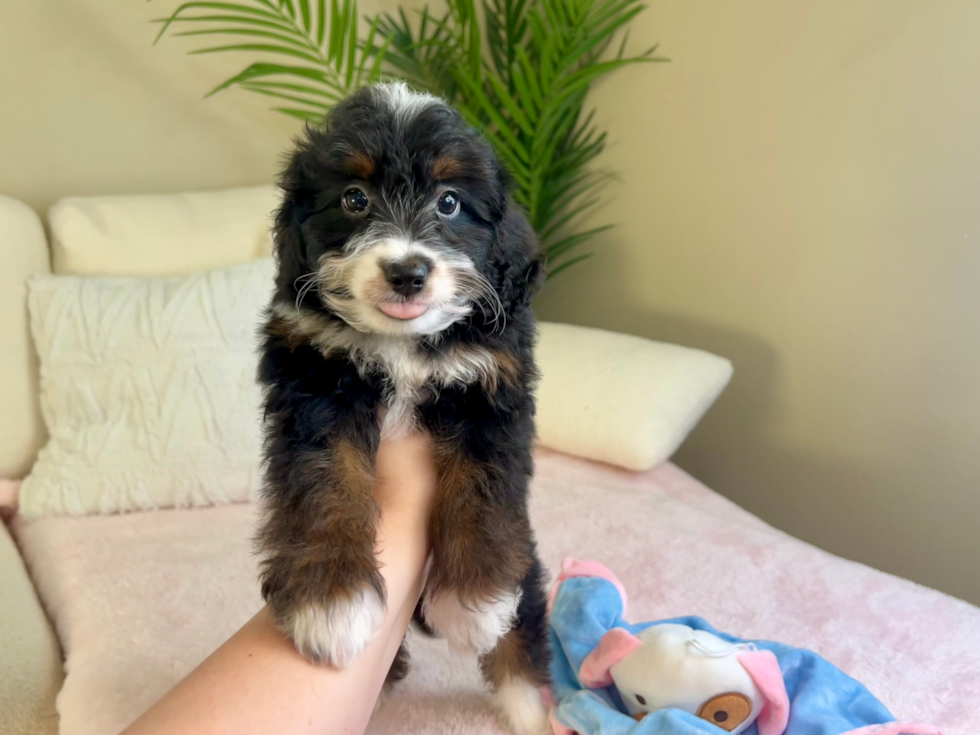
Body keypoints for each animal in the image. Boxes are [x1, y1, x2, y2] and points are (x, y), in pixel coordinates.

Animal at [256, 83, 552, 732]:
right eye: (354, 198)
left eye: (449, 202)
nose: (408, 271)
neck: (402, 346)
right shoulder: (315, 383)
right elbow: (327, 479)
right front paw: (330, 600)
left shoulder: (492, 387)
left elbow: (481, 484)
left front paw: (473, 600)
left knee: (525, 621)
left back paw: (528, 705)